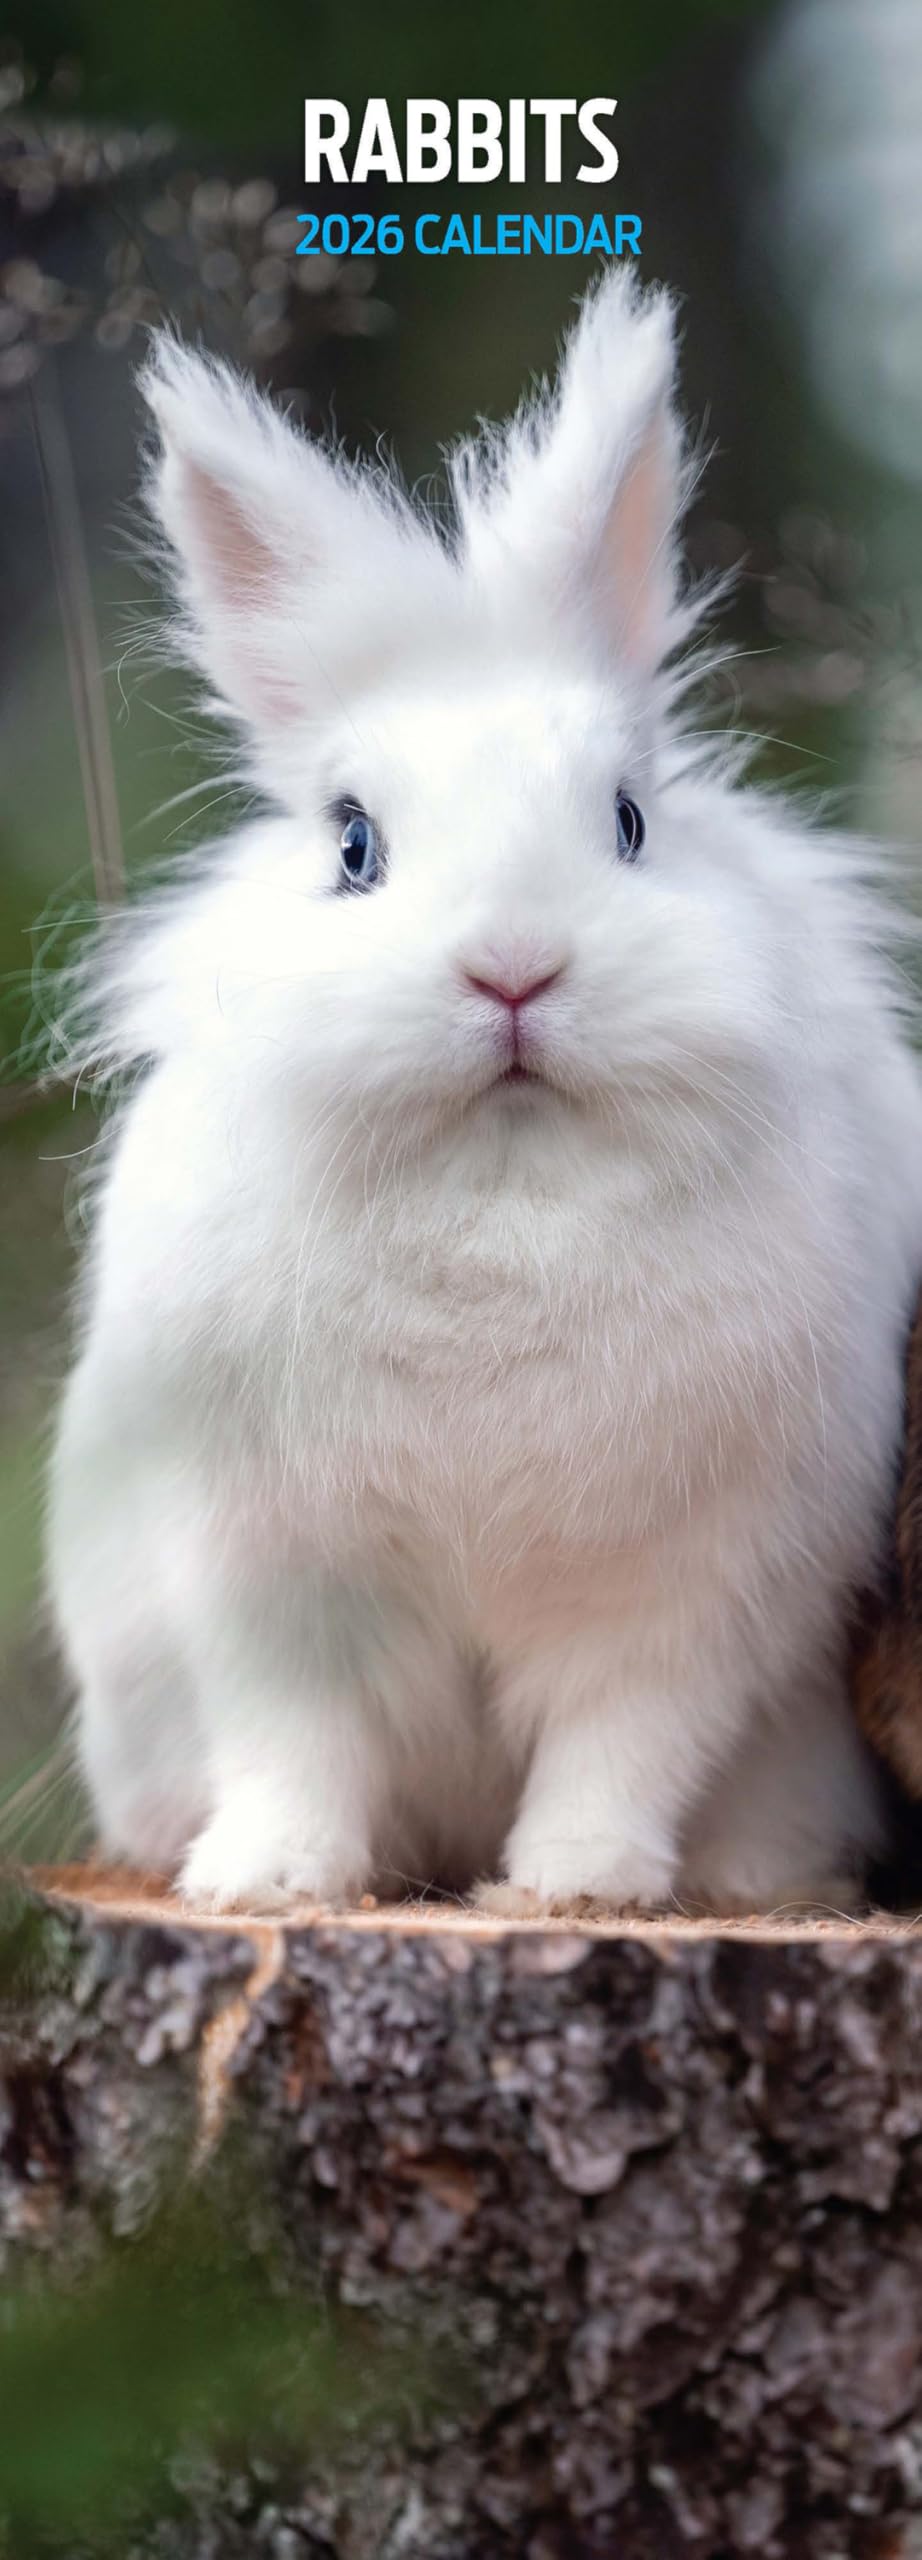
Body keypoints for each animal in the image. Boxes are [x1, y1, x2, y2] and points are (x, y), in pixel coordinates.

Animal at [48, 268, 922, 1916]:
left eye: (631, 820)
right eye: (352, 845)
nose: (513, 970)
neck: (501, 1196)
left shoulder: (693, 1584)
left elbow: (621, 1736)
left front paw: (580, 1884)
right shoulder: (267, 1576)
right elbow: (295, 1738)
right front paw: (267, 1881)